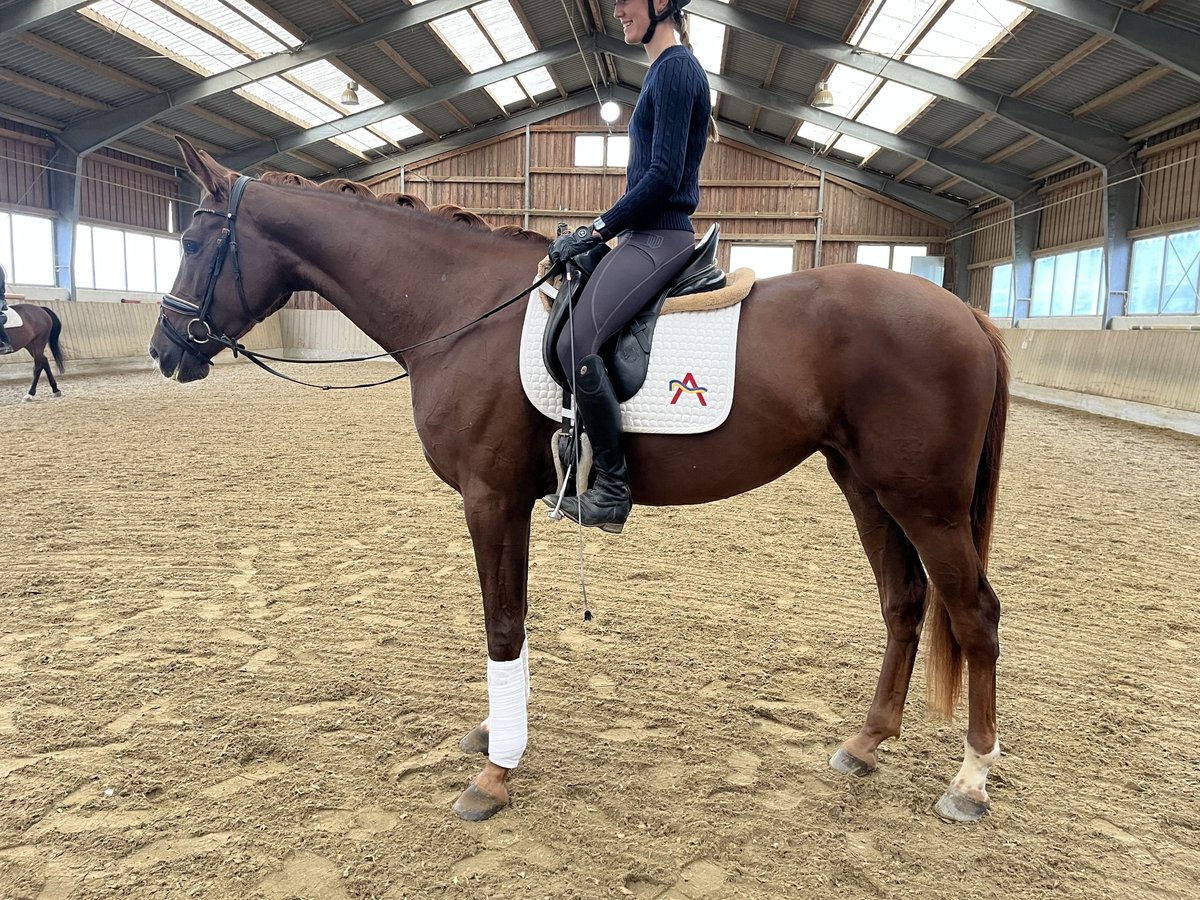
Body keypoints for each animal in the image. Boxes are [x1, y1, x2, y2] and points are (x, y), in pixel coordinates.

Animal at [149, 138, 1010, 825]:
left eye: (191, 238)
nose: (165, 347)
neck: (460, 309)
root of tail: (966, 314)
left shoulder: (489, 496)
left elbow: (500, 624)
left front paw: (494, 775)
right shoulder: (511, 501)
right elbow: (517, 619)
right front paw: (498, 735)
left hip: (925, 503)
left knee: (974, 616)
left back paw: (969, 780)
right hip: (866, 487)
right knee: (904, 603)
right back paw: (866, 743)